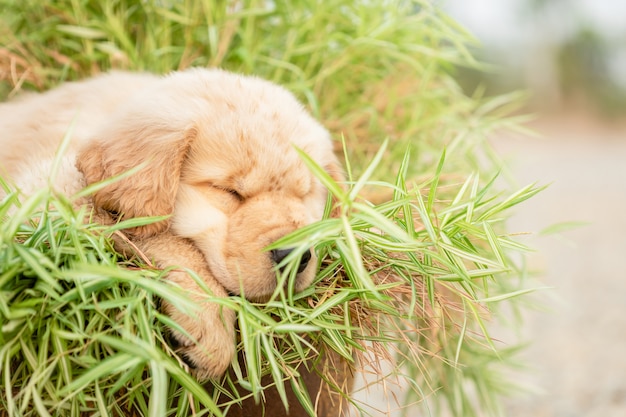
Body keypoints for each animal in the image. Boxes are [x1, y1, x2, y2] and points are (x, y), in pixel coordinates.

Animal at [0, 68, 342, 380]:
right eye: (228, 191)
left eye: (305, 194)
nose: (294, 257)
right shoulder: (41, 195)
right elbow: (161, 238)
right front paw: (210, 320)